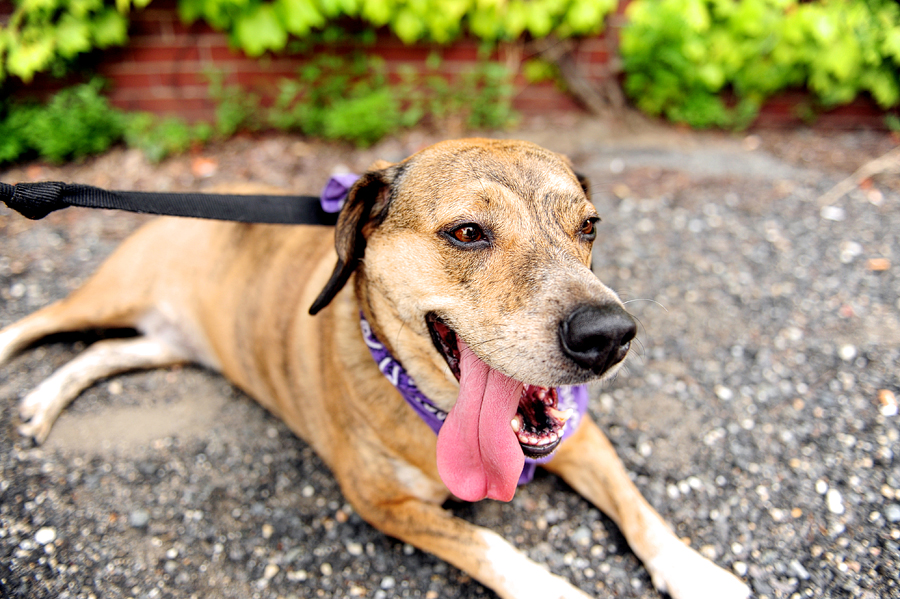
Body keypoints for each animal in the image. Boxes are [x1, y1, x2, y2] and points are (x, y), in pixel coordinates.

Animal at [1, 139, 752, 599]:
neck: (435, 406)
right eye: (467, 232)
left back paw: (44, 400)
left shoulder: (582, 436)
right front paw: (553, 588)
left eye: (589, 226)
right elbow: (487, 542)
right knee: (35, 324)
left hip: (169, 341)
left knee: (103, 351)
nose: (609, 335)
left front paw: (697, 571)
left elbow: (639, 508)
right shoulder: (382, 502)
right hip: (111, 293)